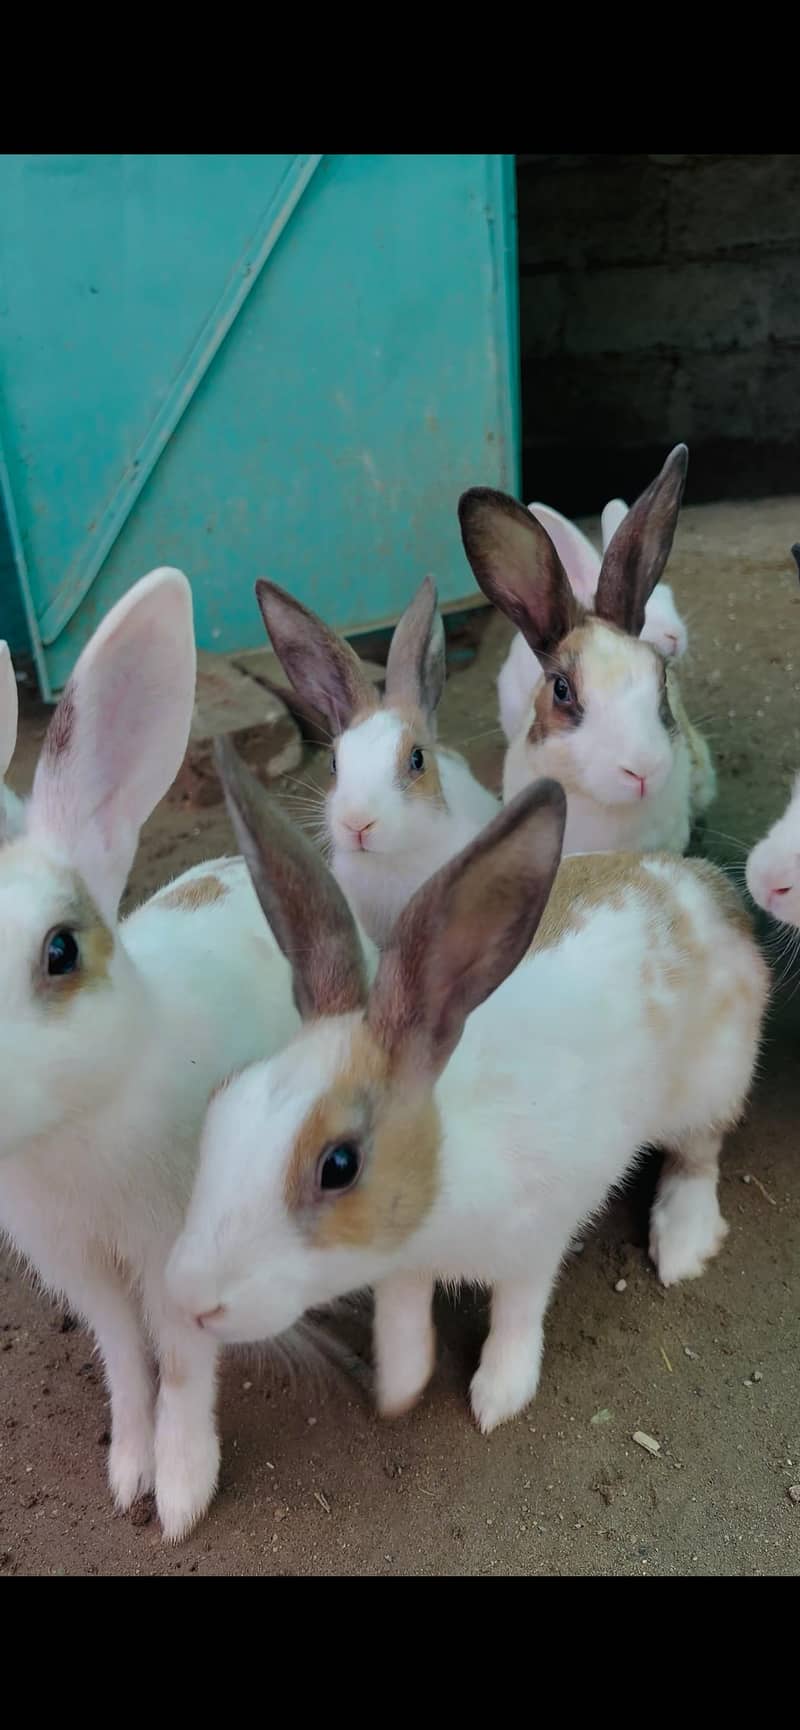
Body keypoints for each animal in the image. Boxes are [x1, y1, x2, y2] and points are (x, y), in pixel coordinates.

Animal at [0, 567, 316, 1541]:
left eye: (61, 951)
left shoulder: (177, 1256)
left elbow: (179, 1366)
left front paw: (179, 1493)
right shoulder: (82, 1274)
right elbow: (123, 1363)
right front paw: (127, 1470)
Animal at [166, 743, 768, 1441]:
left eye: (338, 1165)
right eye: (220, 1104)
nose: (190, 1301)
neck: (444, 1166)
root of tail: (707, 887)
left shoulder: (535, 1242)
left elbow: (517, 1312)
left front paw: (499, 1394)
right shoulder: (399, 1268)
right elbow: (400, 1324)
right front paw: (397, 1394)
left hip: (713, 1082)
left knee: (698, 1156)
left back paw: (682, 1243)